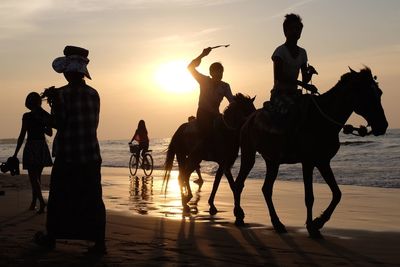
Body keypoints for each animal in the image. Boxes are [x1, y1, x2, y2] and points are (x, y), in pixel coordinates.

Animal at [234, 67, 388, 239]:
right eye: (366, 94)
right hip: (249, 154)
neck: (322, 120)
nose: (383, 125)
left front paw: (318, 222)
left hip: (272, 160)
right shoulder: (308, 162)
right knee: (239, 183)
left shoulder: (323, 162)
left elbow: (337, 193)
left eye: (379, 93)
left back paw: (277, 223)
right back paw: (239, 217)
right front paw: (312, 227)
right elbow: (309, 197)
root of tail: (248, 119)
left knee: (266, 189)